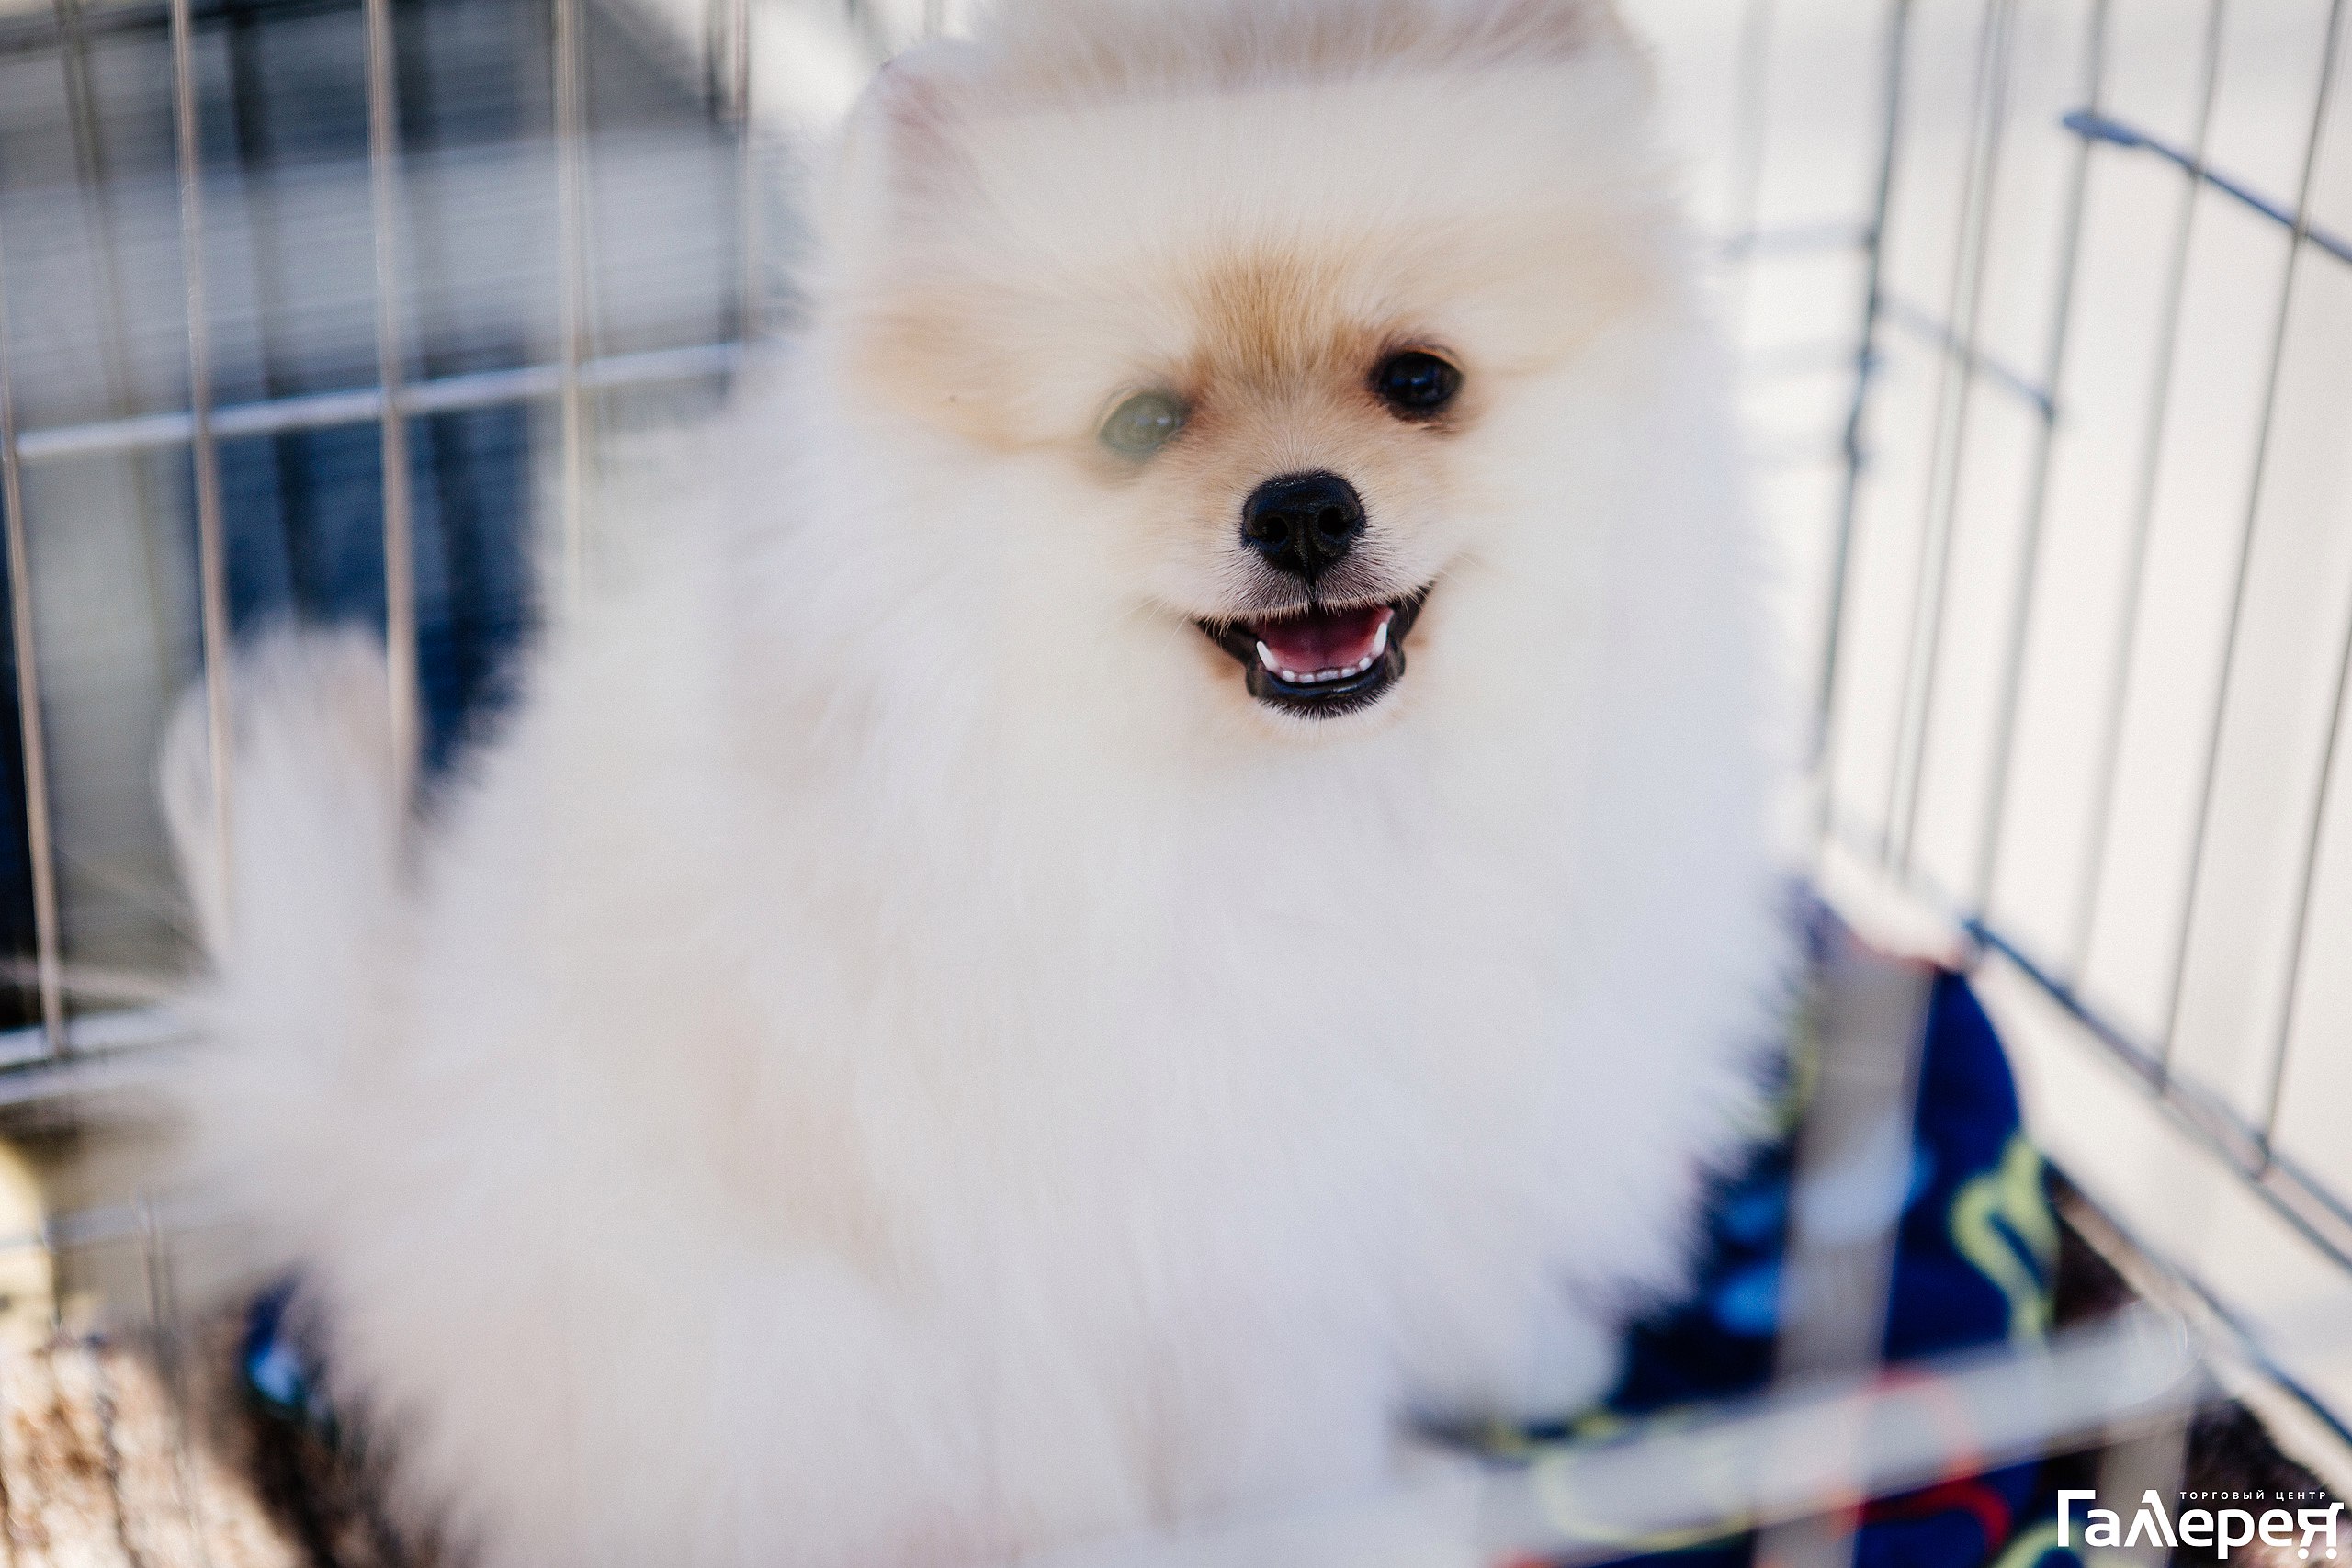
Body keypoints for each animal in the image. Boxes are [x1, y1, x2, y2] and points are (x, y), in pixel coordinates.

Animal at [162, 1, 1789, 1562]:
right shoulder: (1224, 1215)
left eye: (1420, 379)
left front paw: (1538, 1356)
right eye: (1142, 423)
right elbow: (1292, 1427)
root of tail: (374, 1172)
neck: (1338, 794)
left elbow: (1480, 1240)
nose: (1304, 509)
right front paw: (1374, 1519)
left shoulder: (1503, 1066)